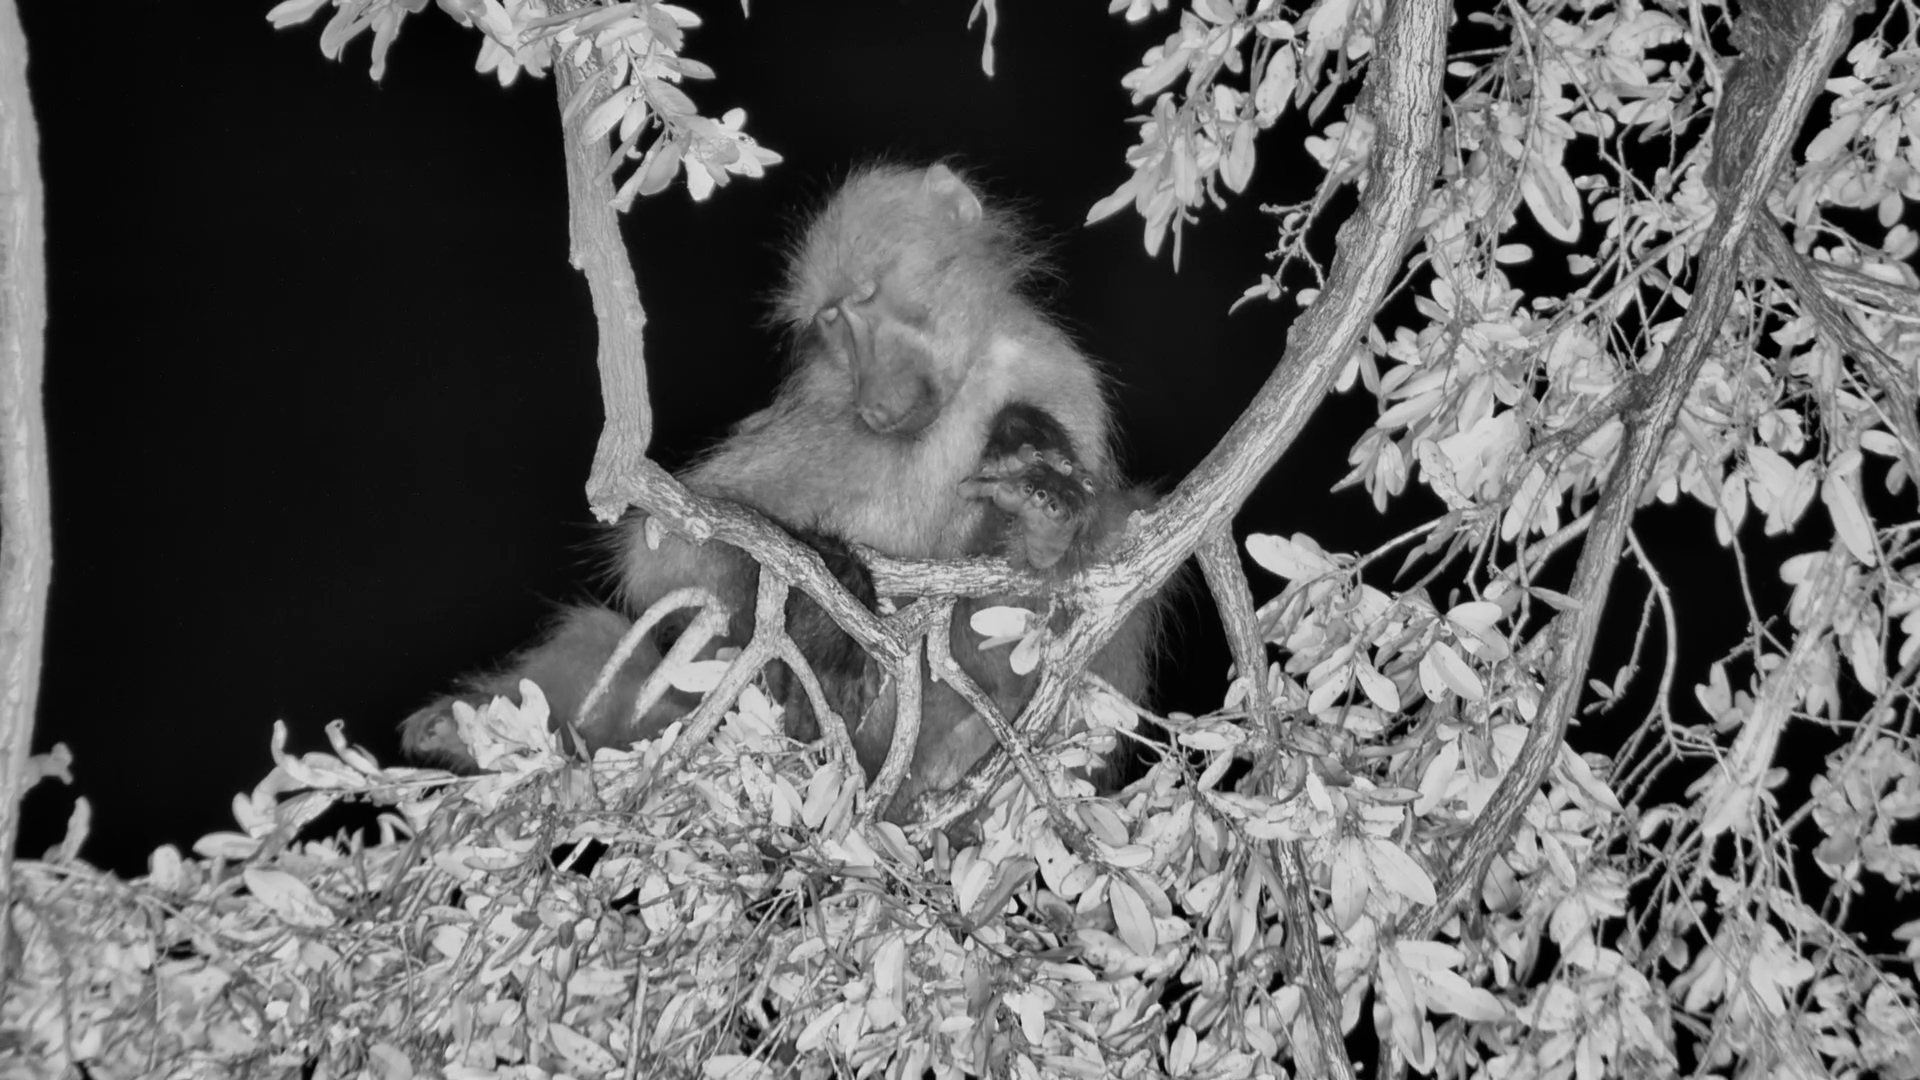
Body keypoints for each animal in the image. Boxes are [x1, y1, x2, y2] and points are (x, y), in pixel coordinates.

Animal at [401, 163, 1160, 816]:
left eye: (866, 296)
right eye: (831, 321)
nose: (875, 401)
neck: (957, 397)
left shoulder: (1059, 380)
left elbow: (1061, 598)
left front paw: (1040, 512)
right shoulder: (822, 408)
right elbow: (667, 553)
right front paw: (832, 587)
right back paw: (462, 729)